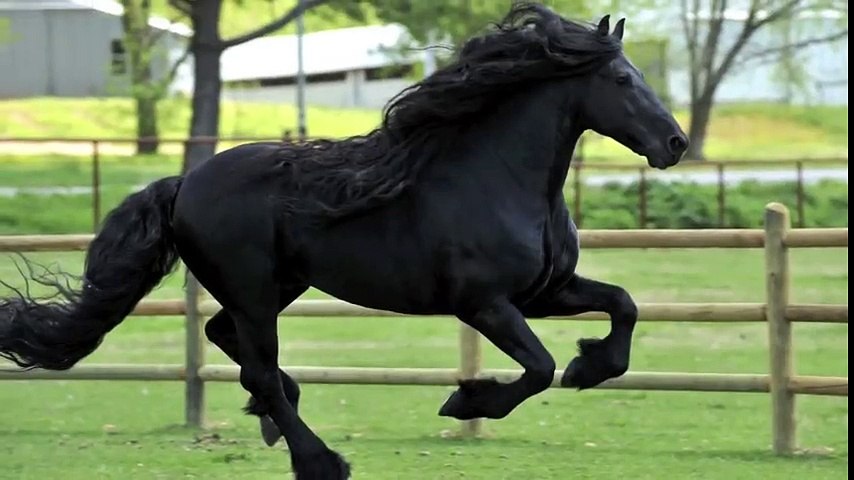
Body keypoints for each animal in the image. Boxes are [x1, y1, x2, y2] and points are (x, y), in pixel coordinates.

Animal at [0, 4, 688, 480]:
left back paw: (275, 421)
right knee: (259, 365)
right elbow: (539, 368)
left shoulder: (546, 292)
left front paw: (590, 366)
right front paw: (466, 401)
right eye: (622, 79)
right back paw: (319, 460)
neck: (500, 179)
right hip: (255, 293)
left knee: (230, 343)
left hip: (276, 287)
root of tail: (185, 182)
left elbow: (623, 305)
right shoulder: (485, 304)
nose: (676, 144)